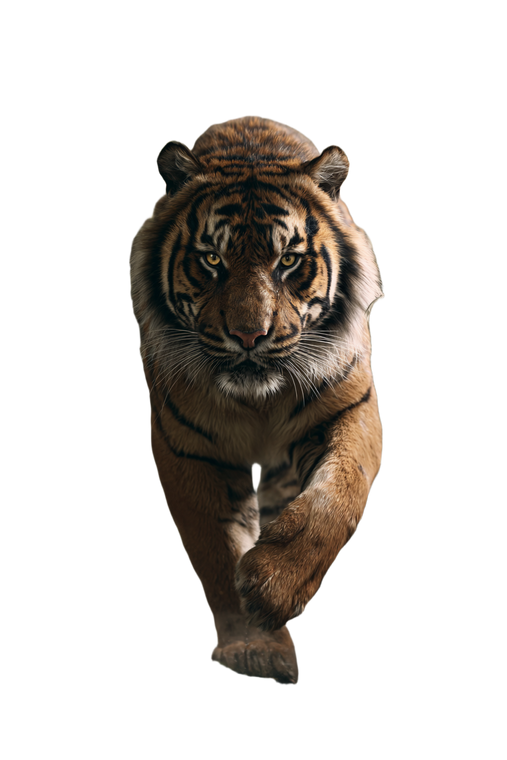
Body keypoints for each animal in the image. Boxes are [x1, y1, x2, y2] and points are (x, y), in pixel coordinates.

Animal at [127, 112, 386, 688]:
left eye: (289, 260)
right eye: (211, 259)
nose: (249, 335)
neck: (258, 402)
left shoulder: (350, 410)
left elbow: (335, 499)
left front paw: (275, 587)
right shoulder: (186, 447)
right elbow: (216, 548)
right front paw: (254, 644)